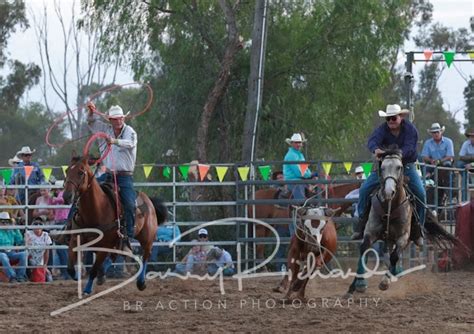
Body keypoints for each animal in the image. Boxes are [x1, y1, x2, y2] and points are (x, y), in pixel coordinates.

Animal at [63, 156, 165, 292]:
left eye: (80, 172)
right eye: (67, 170)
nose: (66, 196)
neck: (98, 208)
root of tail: (148, 200)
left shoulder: (105, 244)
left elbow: (93, 269)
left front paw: (87, 289)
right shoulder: (75, 239)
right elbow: (70, 268)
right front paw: (78, 276)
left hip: (147, 238)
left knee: (145, 255)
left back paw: (141, 282)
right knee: (115, 255)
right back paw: (102, 275)